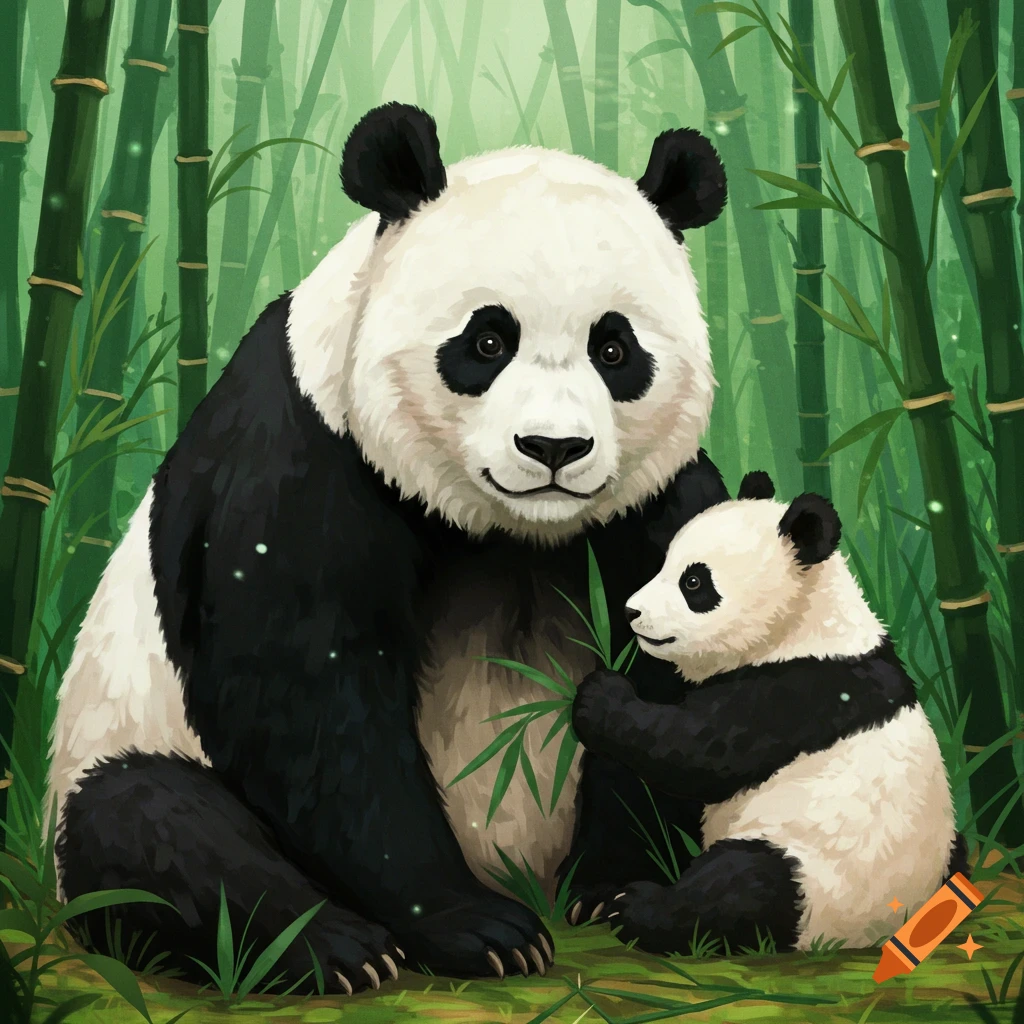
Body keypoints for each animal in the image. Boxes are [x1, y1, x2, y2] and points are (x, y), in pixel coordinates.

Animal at [48, 103, 731, 994]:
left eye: (614, 351)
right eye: (487, 342)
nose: (553, 448)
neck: (512, 529)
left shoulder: (658, 505)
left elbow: (681, 676)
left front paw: (616, 884)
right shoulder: (303, 450)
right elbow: (311, 696)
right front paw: (477, 928)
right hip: (114, 746)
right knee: (151, 827)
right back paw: (334, 948)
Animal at [570, 470, 966, 954]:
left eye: (694, 583)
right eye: (663, 565)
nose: (631, 612)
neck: (806, 625)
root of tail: (890, 926)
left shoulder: (797, 693)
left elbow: (695, 753)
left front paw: (600, 695)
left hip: (813, 875)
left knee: (744, 884)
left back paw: (636, 908)